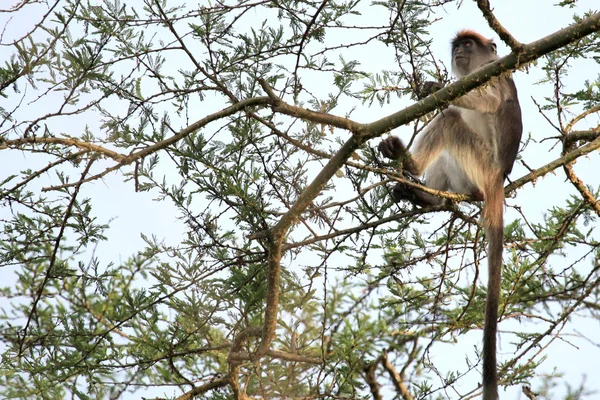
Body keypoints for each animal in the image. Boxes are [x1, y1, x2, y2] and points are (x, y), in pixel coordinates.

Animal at [382, 29, 524, 398]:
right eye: (458, 46)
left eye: (468, 44)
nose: (460, 50)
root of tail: (497, 182)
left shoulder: (494, 73)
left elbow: (483, 101)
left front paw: (435, 89)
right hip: (464, 176)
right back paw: (423, 196)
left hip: (480, 164)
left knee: (450, 118)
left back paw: (410, 163)